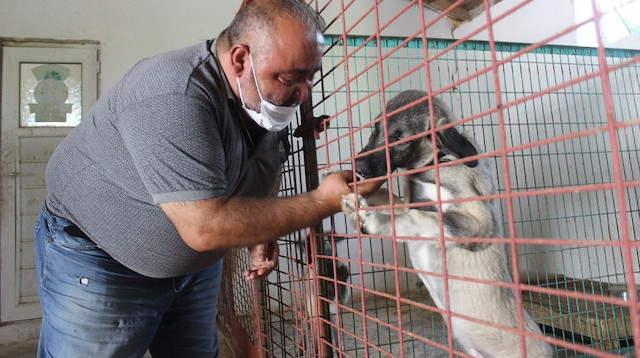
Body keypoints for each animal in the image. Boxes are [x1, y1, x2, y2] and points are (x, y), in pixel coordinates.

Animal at [340, 91, 552, 356]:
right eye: (375, 128)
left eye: (399, 137)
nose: (357, 168)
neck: (437, 160)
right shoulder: (408, 202)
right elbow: (392, 200)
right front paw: (357, 201)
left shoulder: (480, 221)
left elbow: (423, 218)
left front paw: (374, 219)